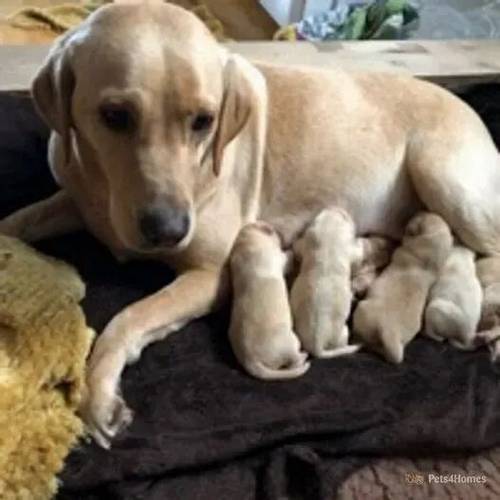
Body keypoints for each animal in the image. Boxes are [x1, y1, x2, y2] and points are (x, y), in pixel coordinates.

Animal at [229, 222, 308, 378]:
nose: (281, 235)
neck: (245, 243)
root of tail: (250, 360)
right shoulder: (279, 258)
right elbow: (287, 257)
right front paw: (291, 249)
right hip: (291, 341)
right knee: (295, 360)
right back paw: (303, 356)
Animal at [292, 207, 362, 360]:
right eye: (345, 216)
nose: (336, 207)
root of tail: (317, 345)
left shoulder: (306, 241)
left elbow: (297, 247)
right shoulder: (351, 250)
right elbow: (358, 253)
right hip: (343, 332)